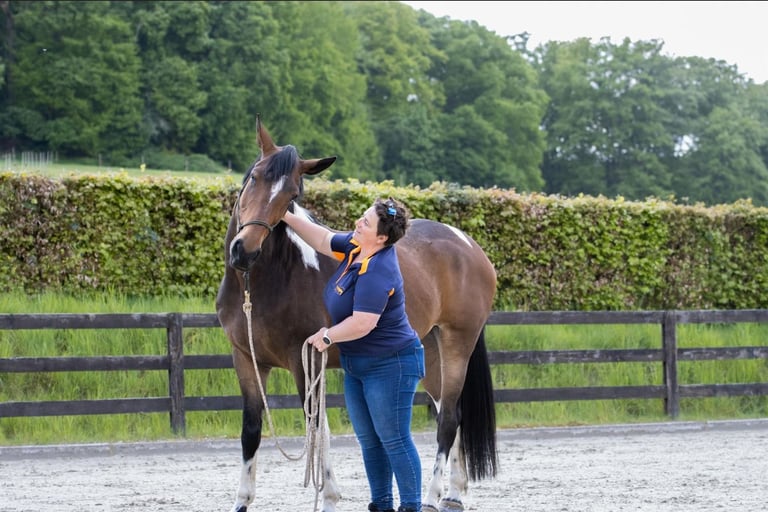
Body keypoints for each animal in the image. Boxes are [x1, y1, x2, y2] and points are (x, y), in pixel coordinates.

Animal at [215, 118, 498, 512]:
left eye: (291, 196)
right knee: (450, 411)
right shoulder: (245, 358)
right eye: (254, 178)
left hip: (458, 342)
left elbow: (316, 427)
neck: (265, 282)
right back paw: (454, 494)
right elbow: (252, 429)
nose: (245, 251)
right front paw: (242, 501)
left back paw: (431, 496)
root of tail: (468, 245)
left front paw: (329, 497)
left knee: (448, 420)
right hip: (431, 349)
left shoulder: (306, 359)